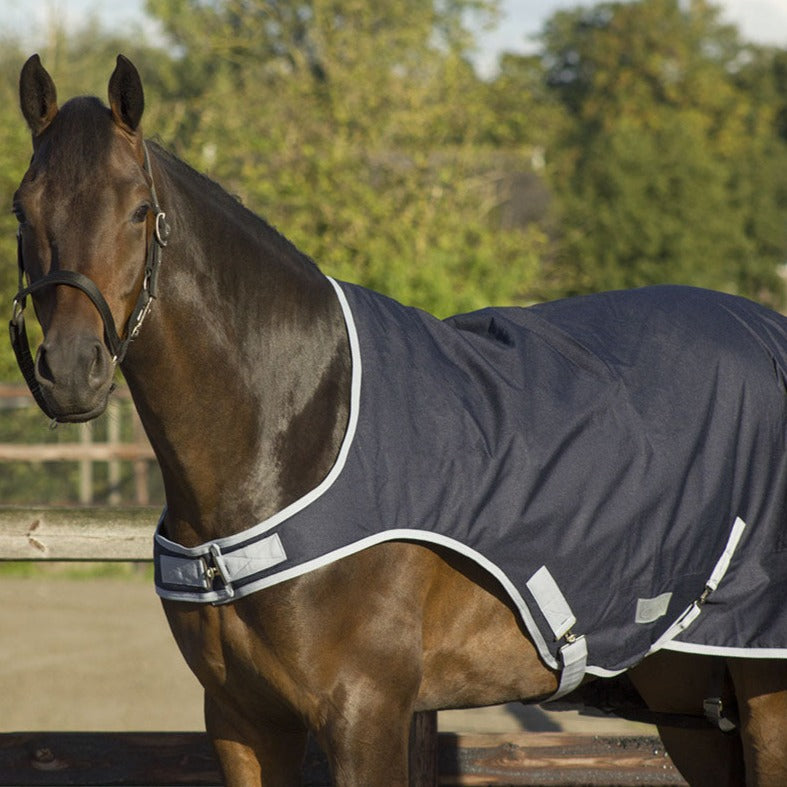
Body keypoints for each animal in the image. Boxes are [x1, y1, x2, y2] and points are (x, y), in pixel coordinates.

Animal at [11, 53, 787, 787]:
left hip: (762, 685)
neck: (294, 433)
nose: (72, 368)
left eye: (139, 209)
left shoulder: (365, 713)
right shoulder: (241, 719)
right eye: (22, 210)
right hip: (688, 694)